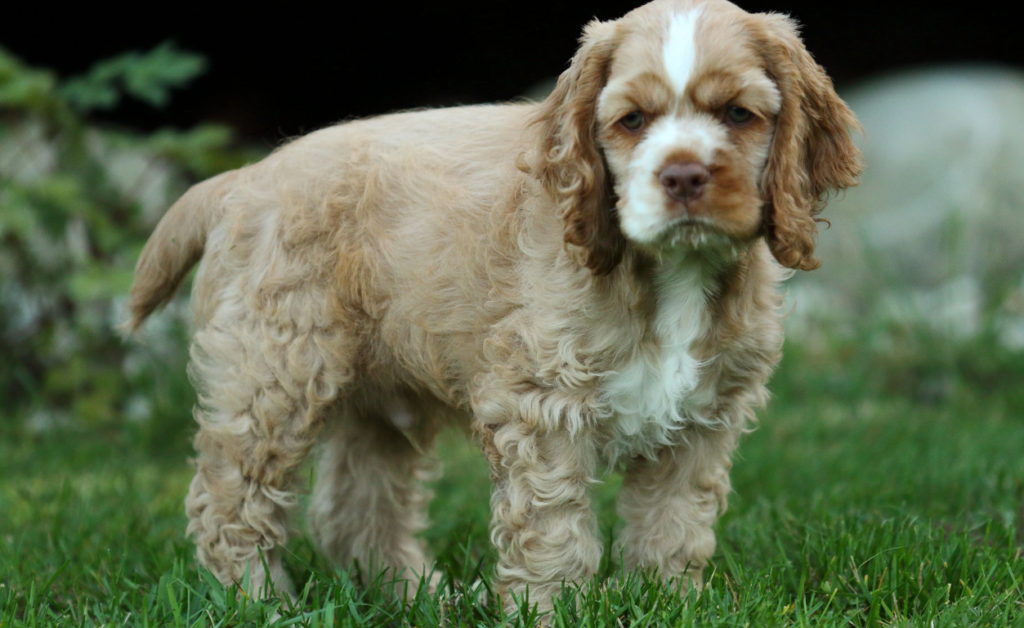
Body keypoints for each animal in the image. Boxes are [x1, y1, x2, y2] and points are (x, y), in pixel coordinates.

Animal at [128, 0, 864, 614]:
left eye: (739, 114)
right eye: (632, 122)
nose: (682, 176)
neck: (667, 270)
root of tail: (241, 179)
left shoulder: (703, 416)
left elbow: (673, 525)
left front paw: (670, 603)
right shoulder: (542, 405)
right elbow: (553, 529)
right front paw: (552, 611)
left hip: (377, 399)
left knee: (357, 507)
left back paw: (418, 595)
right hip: (274, 372)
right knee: (228, 500)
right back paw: (260, 604)